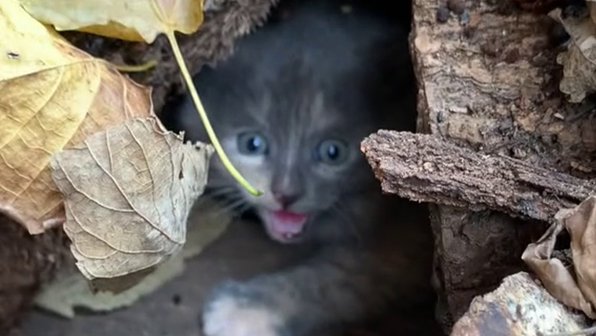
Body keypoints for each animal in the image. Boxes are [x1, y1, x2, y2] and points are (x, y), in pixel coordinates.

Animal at [163, 1, 434, 334]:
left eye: (333, 152)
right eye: (252, 144)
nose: (285, 193)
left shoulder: (412, 238)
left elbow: (347, 274)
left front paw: (248, 309)